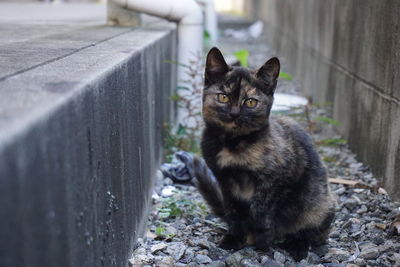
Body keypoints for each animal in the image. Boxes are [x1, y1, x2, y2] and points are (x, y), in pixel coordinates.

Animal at [194, 47, 334, 260]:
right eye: (223, 97)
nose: (235, 114)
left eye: (251, 102)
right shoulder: (225, 182)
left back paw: (297, 247)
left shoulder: (275, 181)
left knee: (310, 232)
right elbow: (234, 213)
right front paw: (234, 238)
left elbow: (261, 212)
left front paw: (262, 243)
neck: (232, 144)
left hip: (319, 204)